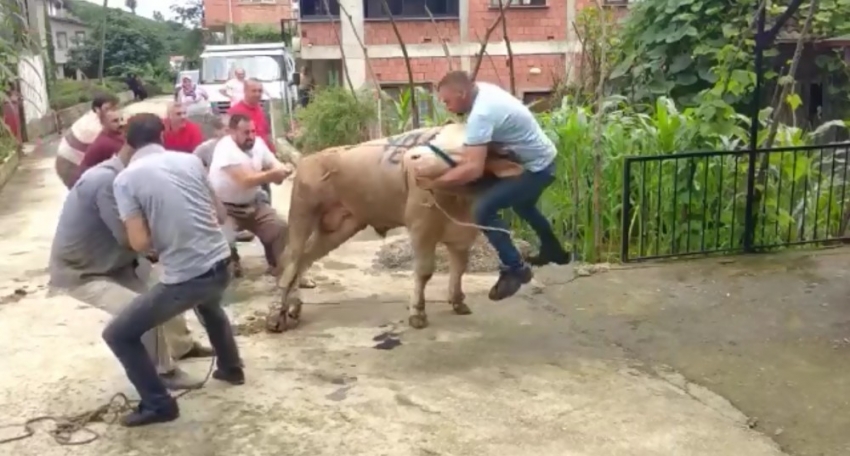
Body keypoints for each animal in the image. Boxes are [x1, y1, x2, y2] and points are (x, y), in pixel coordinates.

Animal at [268, 124, 520, 332]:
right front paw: (417, 312)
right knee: (291, 259)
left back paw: (293, 307)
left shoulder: (464, 234)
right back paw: (276, 315)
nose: (413, 156)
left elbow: (459, 268)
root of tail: (309, 159)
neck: (459, 199)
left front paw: (458, 301)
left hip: (341, 225)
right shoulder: (421, 228)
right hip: (302, 213)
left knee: (304, 259)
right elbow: (424, 271)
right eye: (437, 140)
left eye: (467, 146)